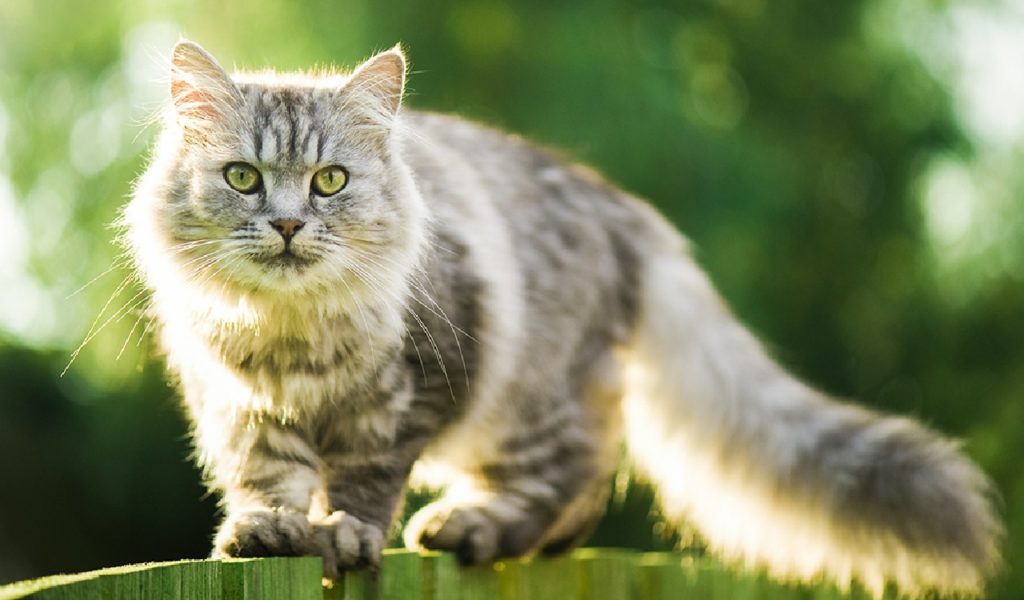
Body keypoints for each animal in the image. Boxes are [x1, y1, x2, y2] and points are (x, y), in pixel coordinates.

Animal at [123, 39, 1003, 593]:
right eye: (242, 177)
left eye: (330, 181)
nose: (286, 224)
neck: (290, 335)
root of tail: (625, 212)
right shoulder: (237, 404)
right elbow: (267, 477)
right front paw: (271, 530)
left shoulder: (412, 392)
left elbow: (366, 481)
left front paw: (346, 535)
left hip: (533, 399)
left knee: (580, 471)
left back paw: (472, 526)